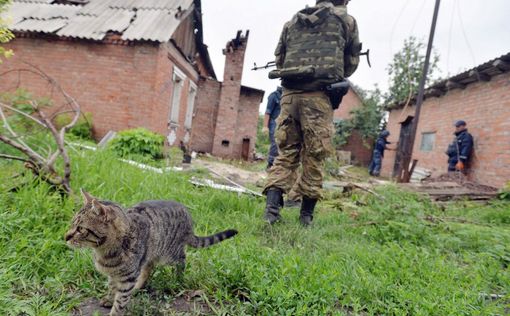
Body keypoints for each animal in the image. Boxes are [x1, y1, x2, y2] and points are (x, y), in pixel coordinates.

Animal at [64, 190, 238, 316]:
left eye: (80, 229)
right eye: (72, 224)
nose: (65, 237)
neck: (104, 253)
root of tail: (189, 220)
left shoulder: (127, 278)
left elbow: (120, 301)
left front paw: (114, 310)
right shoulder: (114, 274)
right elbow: (112, 287)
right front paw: (109, 298)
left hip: (170, 255)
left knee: (182, 259)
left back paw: (178, 278)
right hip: (151, 255)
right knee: (149, 268)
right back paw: (138, 287)